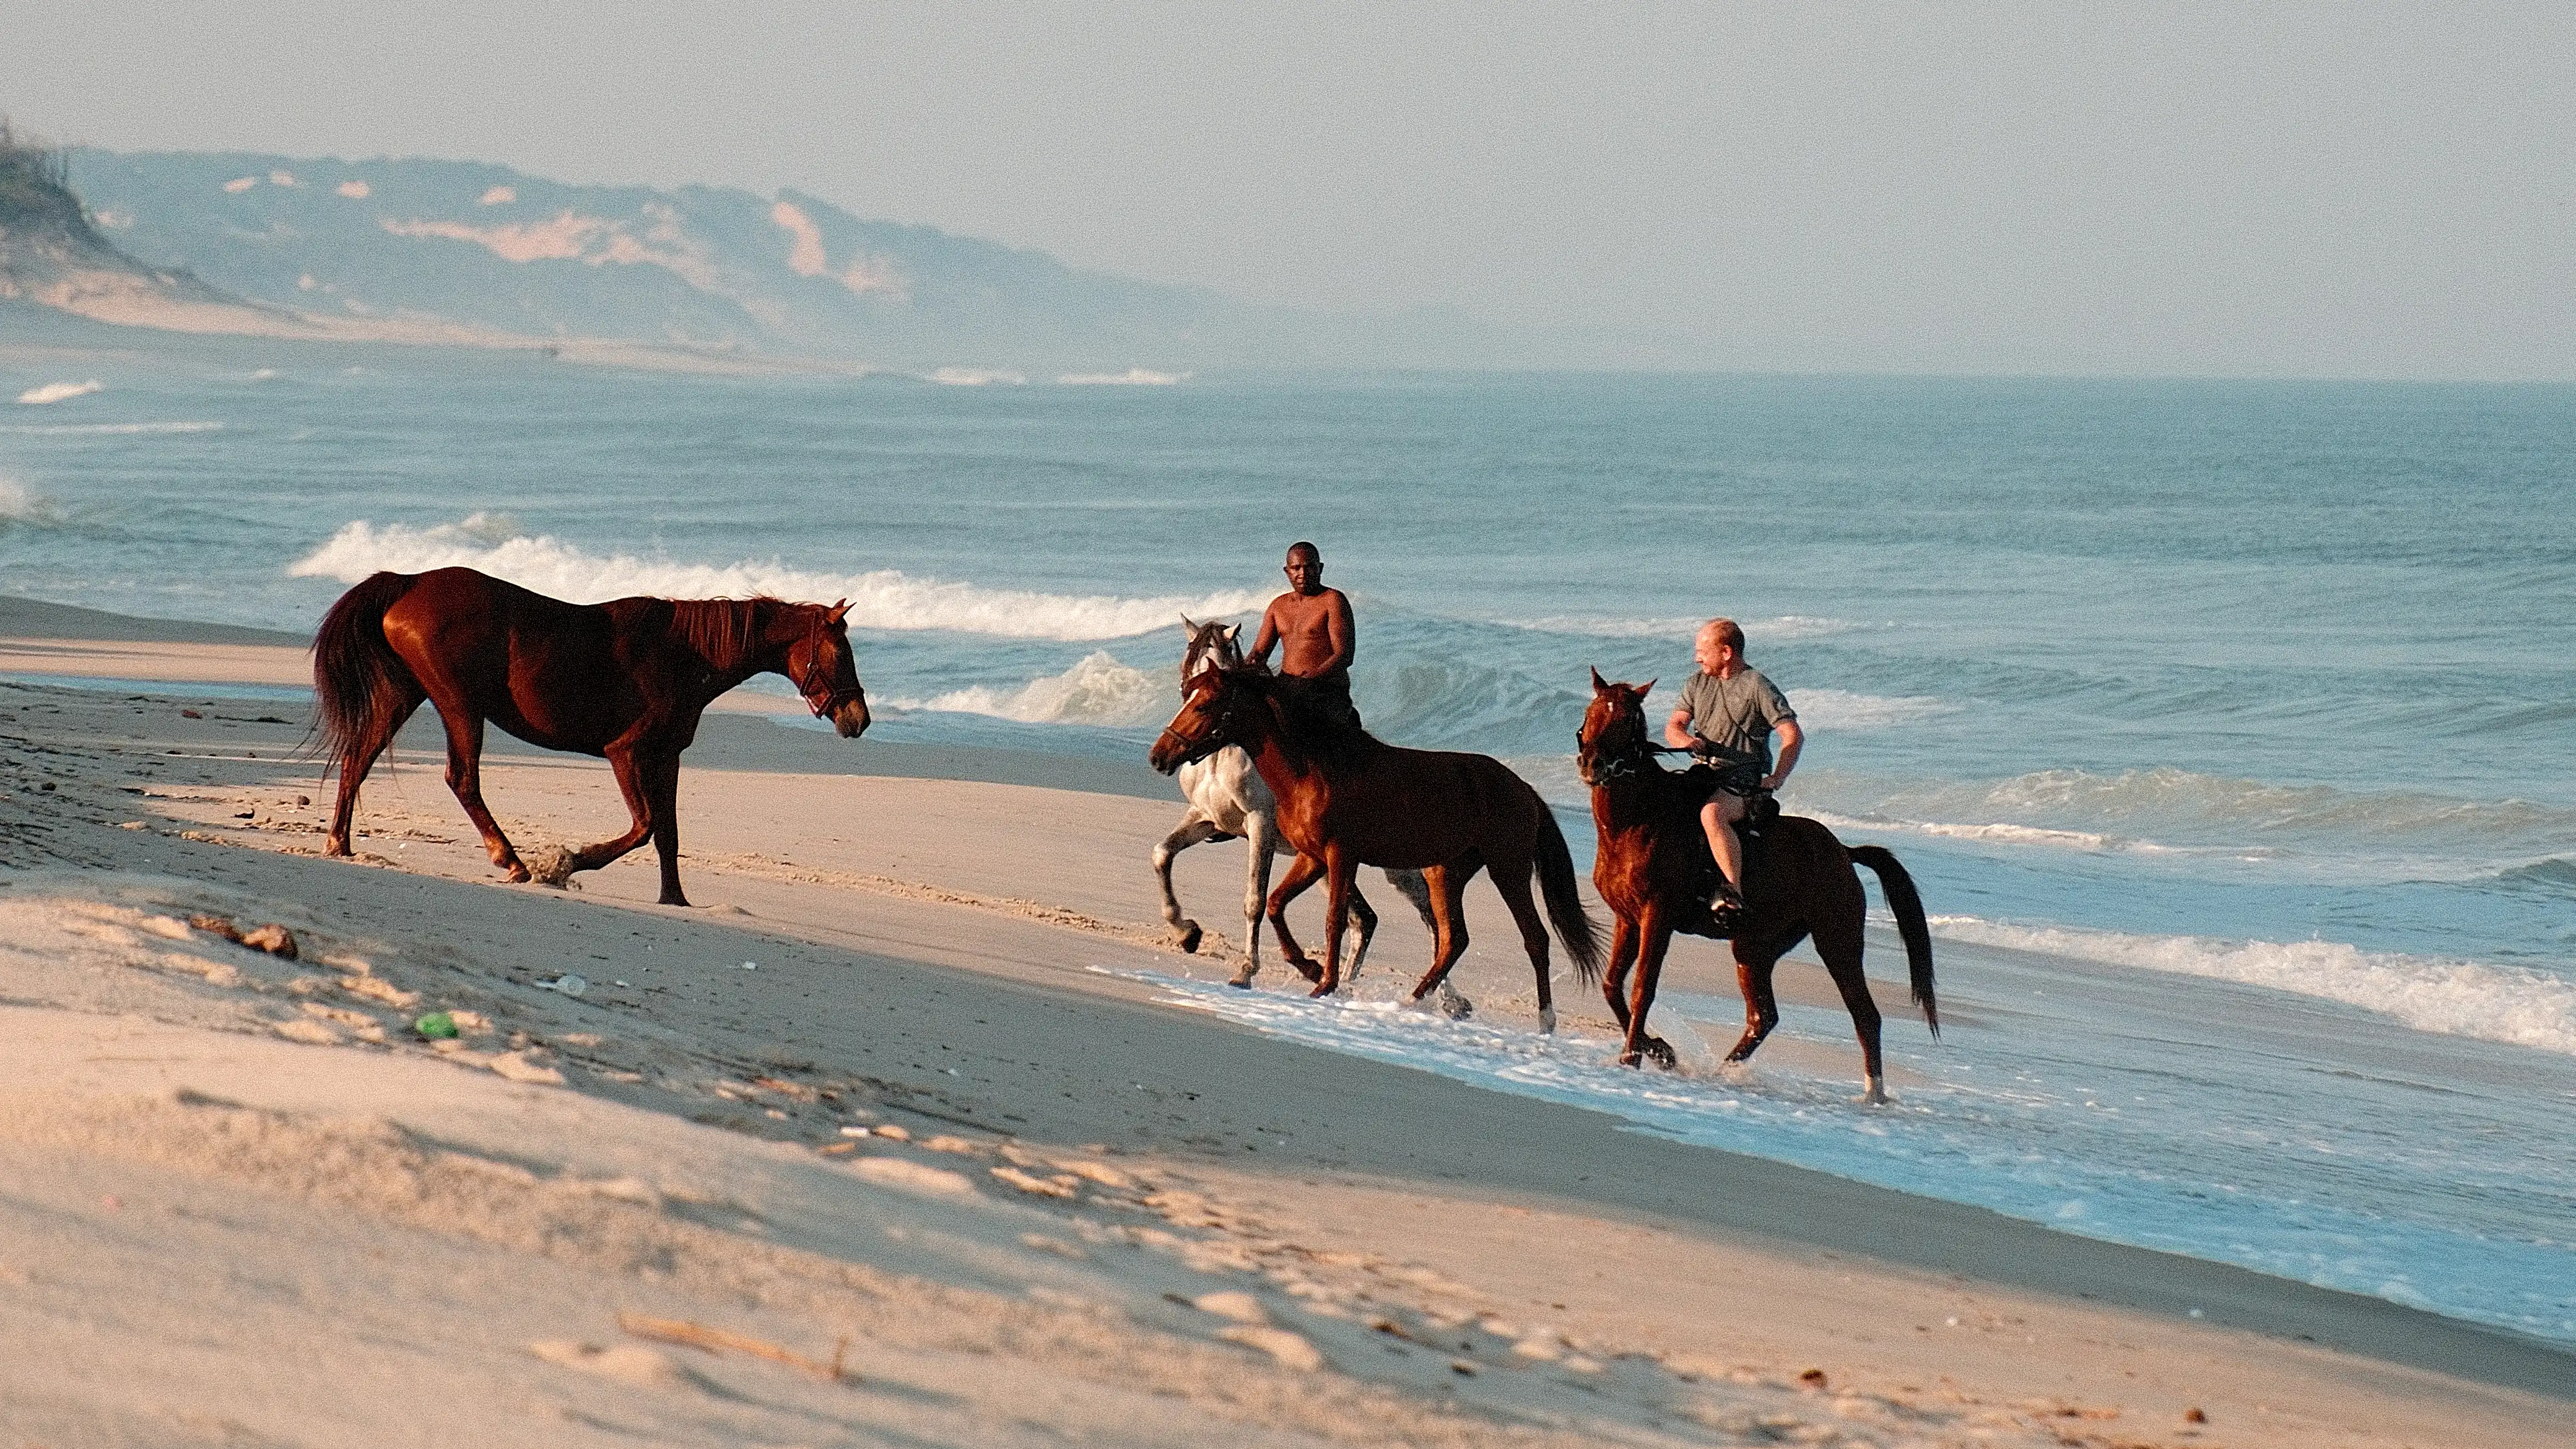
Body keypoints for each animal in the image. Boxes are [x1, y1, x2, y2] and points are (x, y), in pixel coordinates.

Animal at [312, 566, 869, 907]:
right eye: (840, 653)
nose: (859, 719)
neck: (687, 655)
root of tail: (409, 583)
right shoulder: (627, 753)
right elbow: (644, 827)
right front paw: (568, 861)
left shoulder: (665, 758)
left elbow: (668, 834)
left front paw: (675, 899)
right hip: (460, 706)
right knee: (462, 780)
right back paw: (512, 861)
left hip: (406, 695)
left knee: (359, 759)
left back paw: (340, 842)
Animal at [1149, 617, 1438, 990]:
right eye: (1187, 686)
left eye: (1205, 703)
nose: (1159, 758)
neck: (1225, 754)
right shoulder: (1205, 818)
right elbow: (1162, 855)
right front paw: (1187, 934)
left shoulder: (1261, 825)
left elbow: (1254, 899)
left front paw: (1246, 970)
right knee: (1364, 919)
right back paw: (1345, 983)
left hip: (1398, 866)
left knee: (1429, 917)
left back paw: (1445, 997)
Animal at [1150, 660, 1602, 1031]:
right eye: (1186, 694)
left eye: (1205, 705)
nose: (1159, 755)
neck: (1313, 769)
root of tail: (1525, 789)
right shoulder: (1312, 858)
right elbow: (1277, 904)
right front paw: (1309, 968)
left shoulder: (1338, 856)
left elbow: (1332, 919)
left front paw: (1321, 983)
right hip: (1445, 873)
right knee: (1452, 939)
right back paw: (1413, 1001)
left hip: (1506, 870)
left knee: (1533, 938)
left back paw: (1544, 1022)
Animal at [1575, 670, 1935, 1102]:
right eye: (1592, 711)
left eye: (1628, 720)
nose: (1592, 764)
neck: (1638, 820)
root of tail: (1844, 852)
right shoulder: (1628, 920)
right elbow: (1612, 985)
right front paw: (1660, 1050)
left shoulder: (1656, 918)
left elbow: (1642, 988)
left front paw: (1632, 1057)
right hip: (1754, 947)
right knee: (1763, 1016)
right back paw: (1724, 1070)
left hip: (1838, 942)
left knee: (1865, 1015)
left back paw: (1873, 1095)